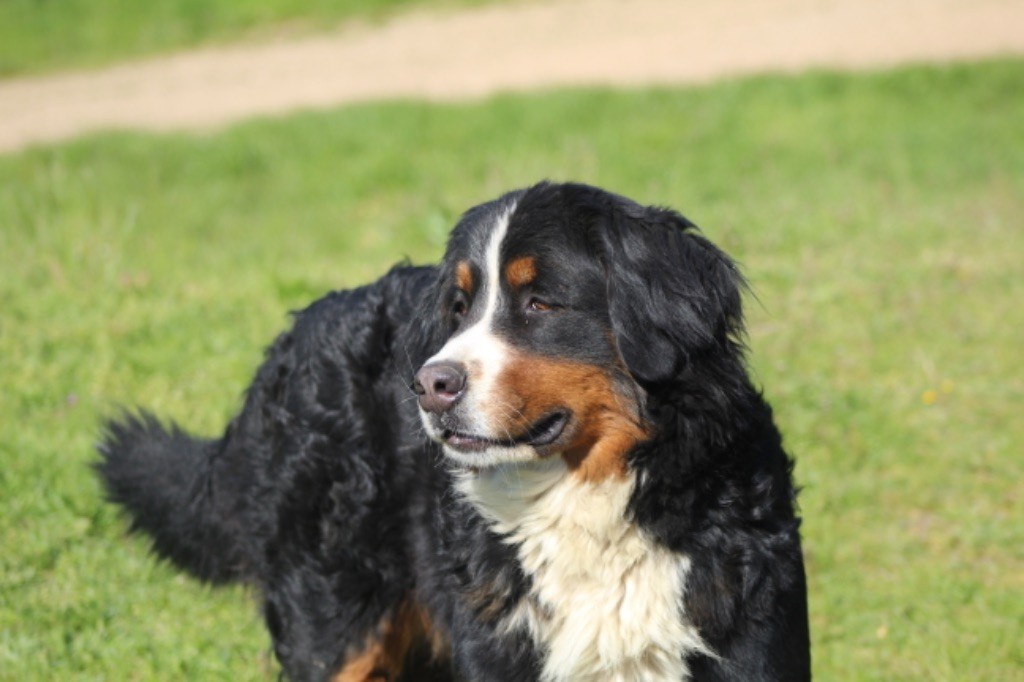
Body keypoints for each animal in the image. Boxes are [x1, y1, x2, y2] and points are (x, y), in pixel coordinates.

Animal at [99, 180, 811, 679]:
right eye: (460, 307)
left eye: (540, 302)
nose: (428, 385)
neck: (583, 507)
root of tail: (290, 338)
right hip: (334, 619)